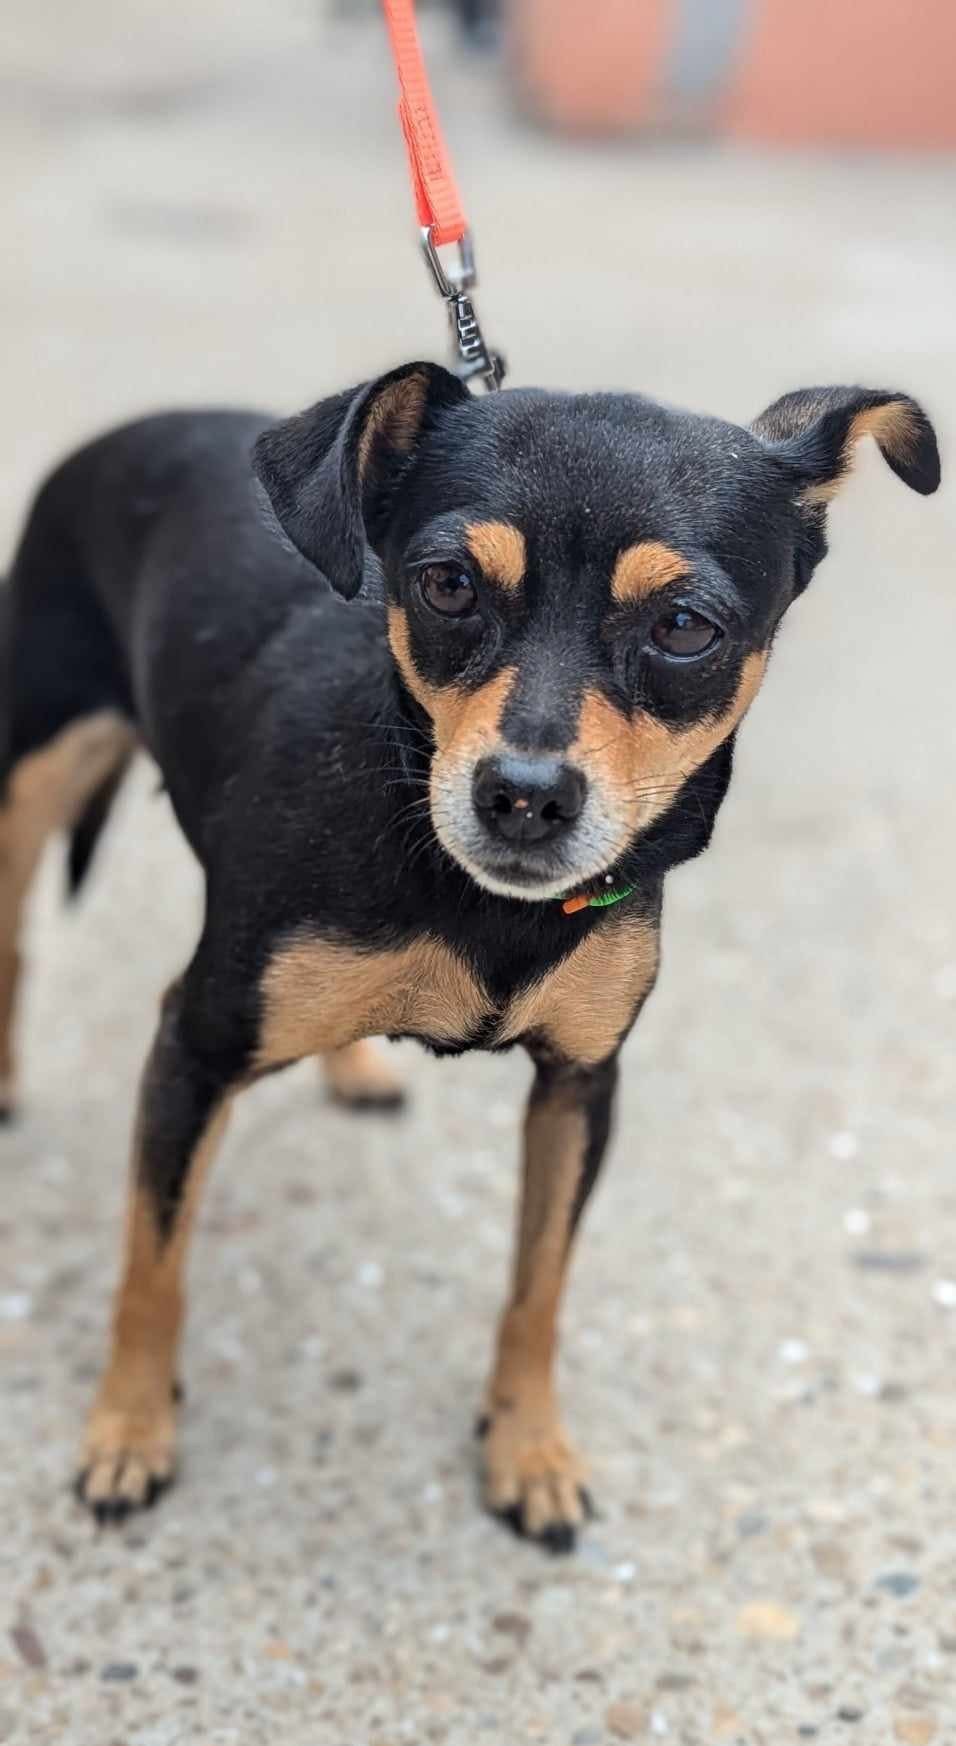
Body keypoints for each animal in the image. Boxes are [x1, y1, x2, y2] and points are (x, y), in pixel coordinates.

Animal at [0, 364, 939, 1549]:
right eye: (446, 585)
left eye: (684, 626)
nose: (524, 797)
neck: (472, 893)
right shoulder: (193, 1050)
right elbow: (151, 1268)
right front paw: (128, 1431)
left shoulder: (581, 1086)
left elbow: (538, 1291)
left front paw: (528, 1450)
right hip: (32, 768)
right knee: (12, 938)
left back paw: (354, 1067)